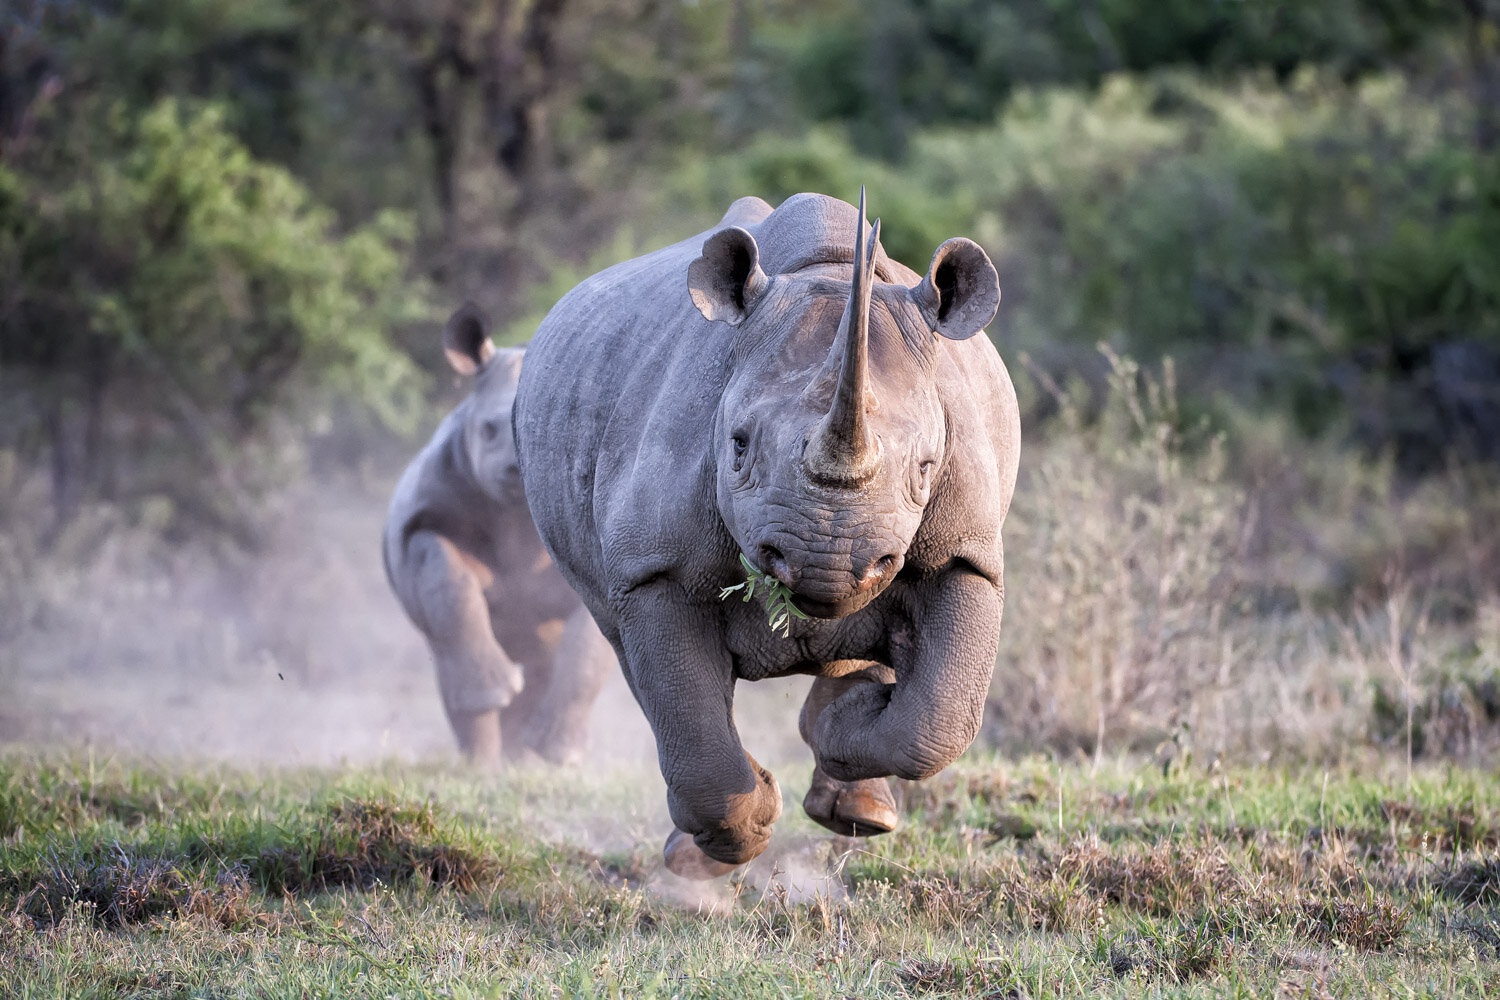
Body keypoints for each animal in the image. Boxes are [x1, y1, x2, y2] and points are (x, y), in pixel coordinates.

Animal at [384, 308, 612, 773]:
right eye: (488, 429)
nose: (517, 468)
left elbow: (587, 649)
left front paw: (562, 757)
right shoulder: (423, 520)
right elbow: (448, 583)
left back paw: (524, 761)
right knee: (449, 664)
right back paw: (481, 766)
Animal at [513, 193, 1020, 875]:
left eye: (925, 467)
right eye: (738, 446)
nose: (828, 562)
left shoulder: (964, 553)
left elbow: (935, 723)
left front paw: (851, 722)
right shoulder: (654, 567)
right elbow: (684, 700)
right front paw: (742, 834)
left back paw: (862, 807)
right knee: (627, 648)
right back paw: (701, 851)